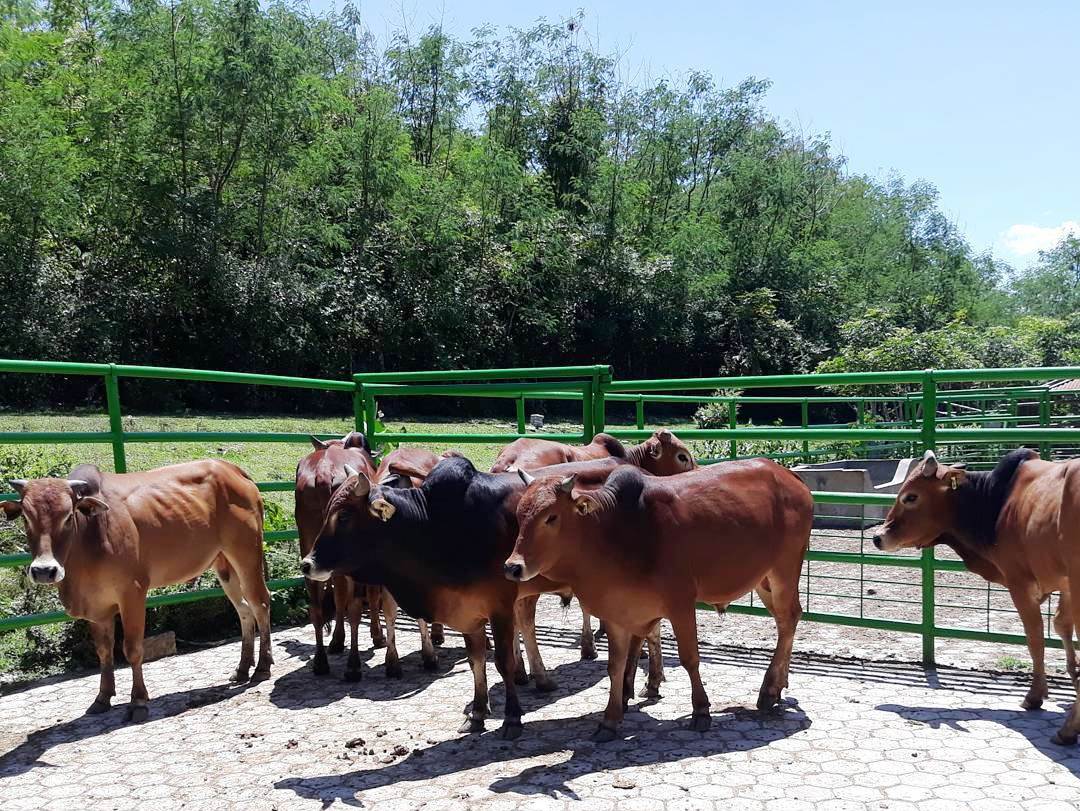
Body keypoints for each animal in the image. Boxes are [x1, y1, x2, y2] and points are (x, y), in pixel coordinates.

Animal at [2, 460, 272, 721]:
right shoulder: (97, 606)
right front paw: (103, 697)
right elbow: (104, 651)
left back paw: (262, 667)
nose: (44, 570)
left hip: (246, 554)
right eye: (26, 517)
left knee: (260, 604)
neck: (91, 537)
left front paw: (138, 701)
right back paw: (242, 668)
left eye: (68, 516)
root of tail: (231, 469)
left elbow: (132, 649)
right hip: (224, 564)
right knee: (244, 610)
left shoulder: (132, 594)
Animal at [505, 460, 812, 738]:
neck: (616, 533)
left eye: (551, 517)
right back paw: (778, 684)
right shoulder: (616, 613)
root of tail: (789, 476)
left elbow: (690, 658)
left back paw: (768, 690)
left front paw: (701, 710)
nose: (513, 567)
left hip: (784, 570)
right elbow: (616, 666)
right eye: (519, 516)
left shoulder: (681, 603)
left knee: (788, 619)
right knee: (786, 620)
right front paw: (610, 719)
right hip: (764, 579)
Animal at [872, 447, 1080, 747]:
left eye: (911, 496)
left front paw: (1035, 696)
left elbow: (1035, 638)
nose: (878, 537)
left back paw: (1067, 730)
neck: (996, 501)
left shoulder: (1020, 583)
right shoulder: (1065, 587)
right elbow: (1062, 626)